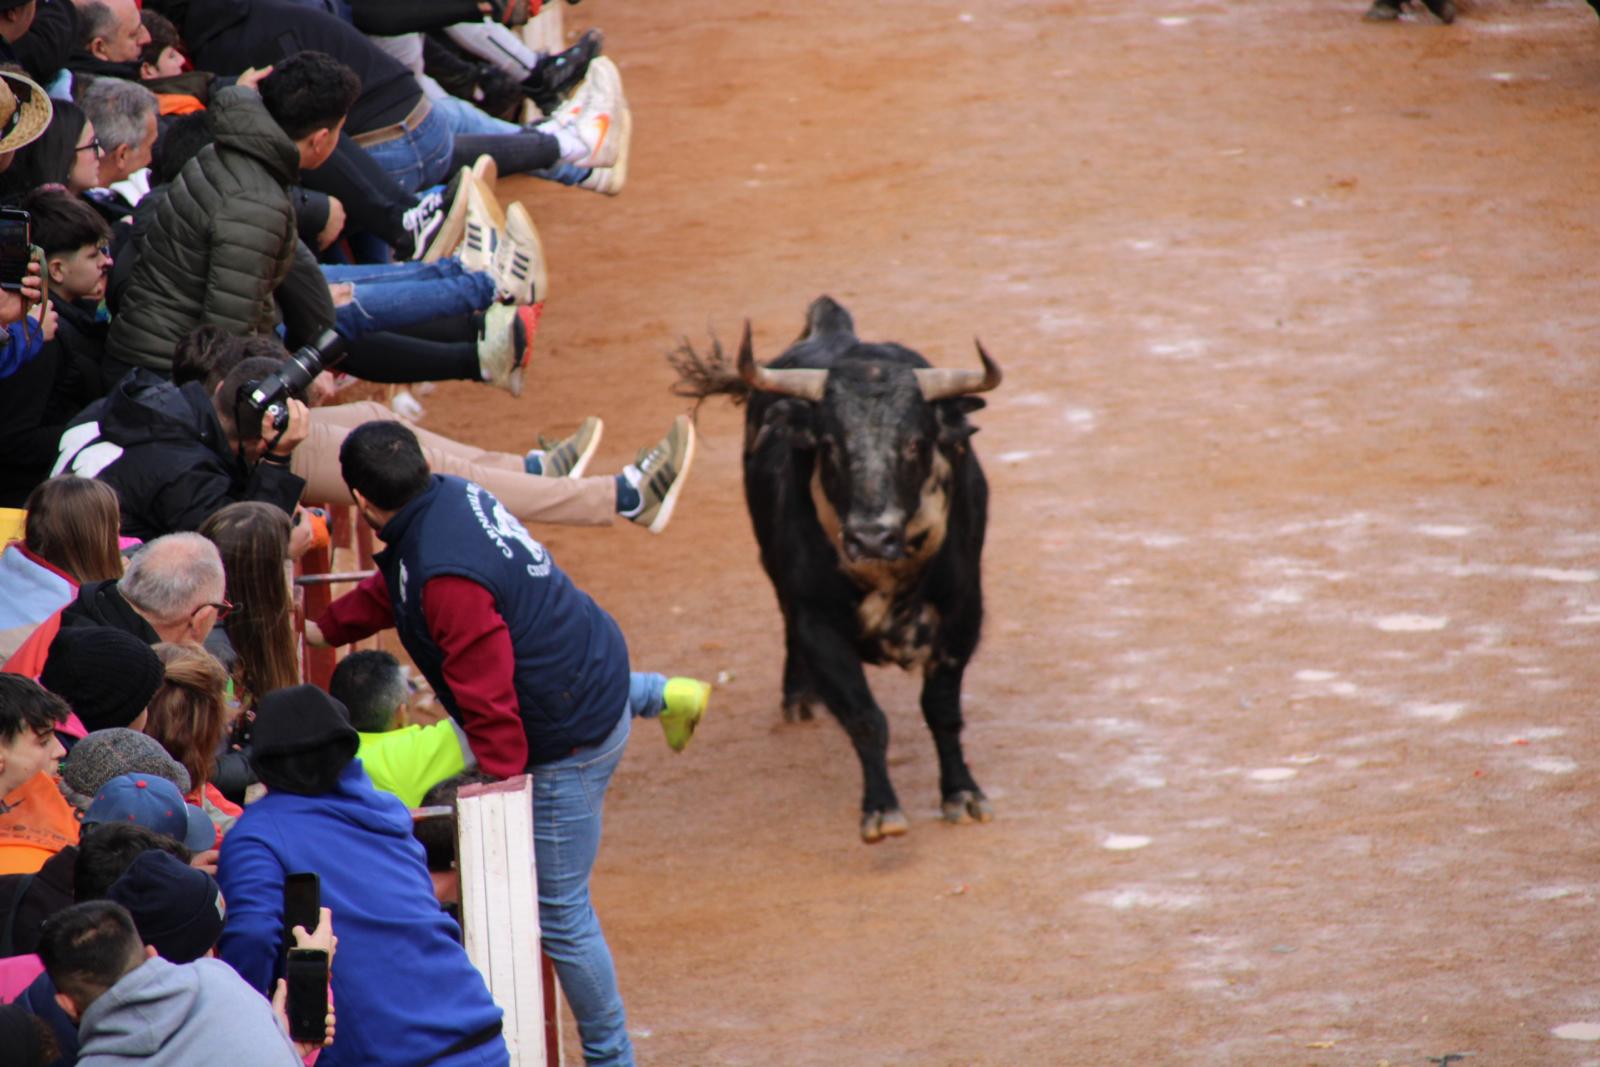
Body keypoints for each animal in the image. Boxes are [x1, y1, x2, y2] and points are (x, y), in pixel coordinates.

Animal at [672, 294, 998, 844]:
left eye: (916, 442)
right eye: (829, 444)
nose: (870, 536)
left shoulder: (961, 614)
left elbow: (943, 711)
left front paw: (963, 794)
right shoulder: (817, 622)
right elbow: (865, 718)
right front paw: (881, 810)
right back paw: (799, 698)